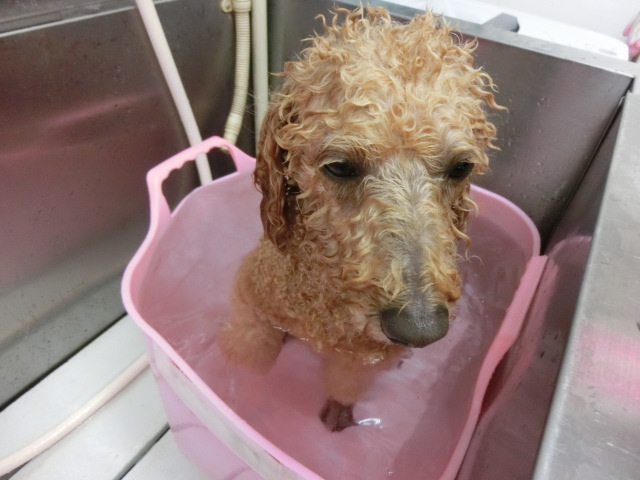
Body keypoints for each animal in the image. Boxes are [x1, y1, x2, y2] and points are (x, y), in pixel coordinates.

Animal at [218, 5, 500, 432]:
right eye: (339, 167)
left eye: (461, 167)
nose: (420, 330)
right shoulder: (252, 299)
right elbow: (252, 348)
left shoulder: (363, 357)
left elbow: (346, 380)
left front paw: (339, 407)